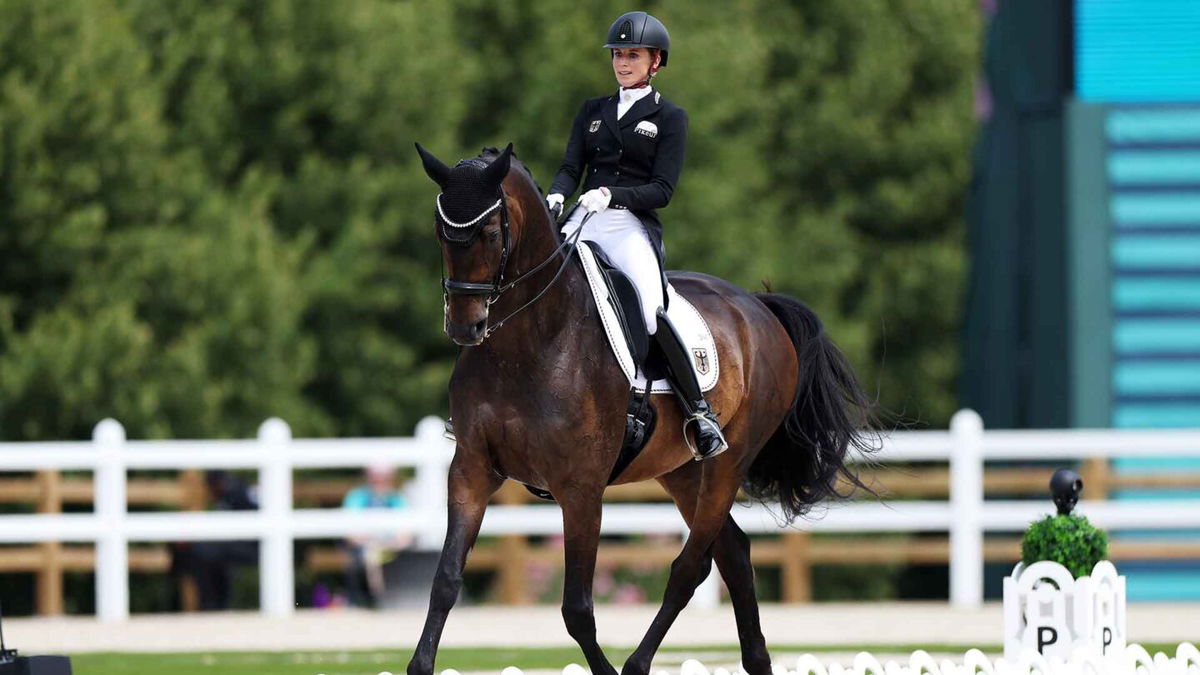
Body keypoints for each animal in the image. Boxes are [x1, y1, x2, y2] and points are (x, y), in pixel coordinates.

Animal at [410, 144, 873, 672]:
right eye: (441, 232)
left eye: (489, 233)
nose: (465, 327)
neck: (528, 342)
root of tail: (757, 306)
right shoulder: (471, 470)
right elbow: (446, 581)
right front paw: (418, 665)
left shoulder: (581, 488)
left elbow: (577, 608)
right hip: (682, 470)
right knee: (733, 553)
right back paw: (757, 661)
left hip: (728, 463)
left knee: (691, 566)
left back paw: (637, 664)